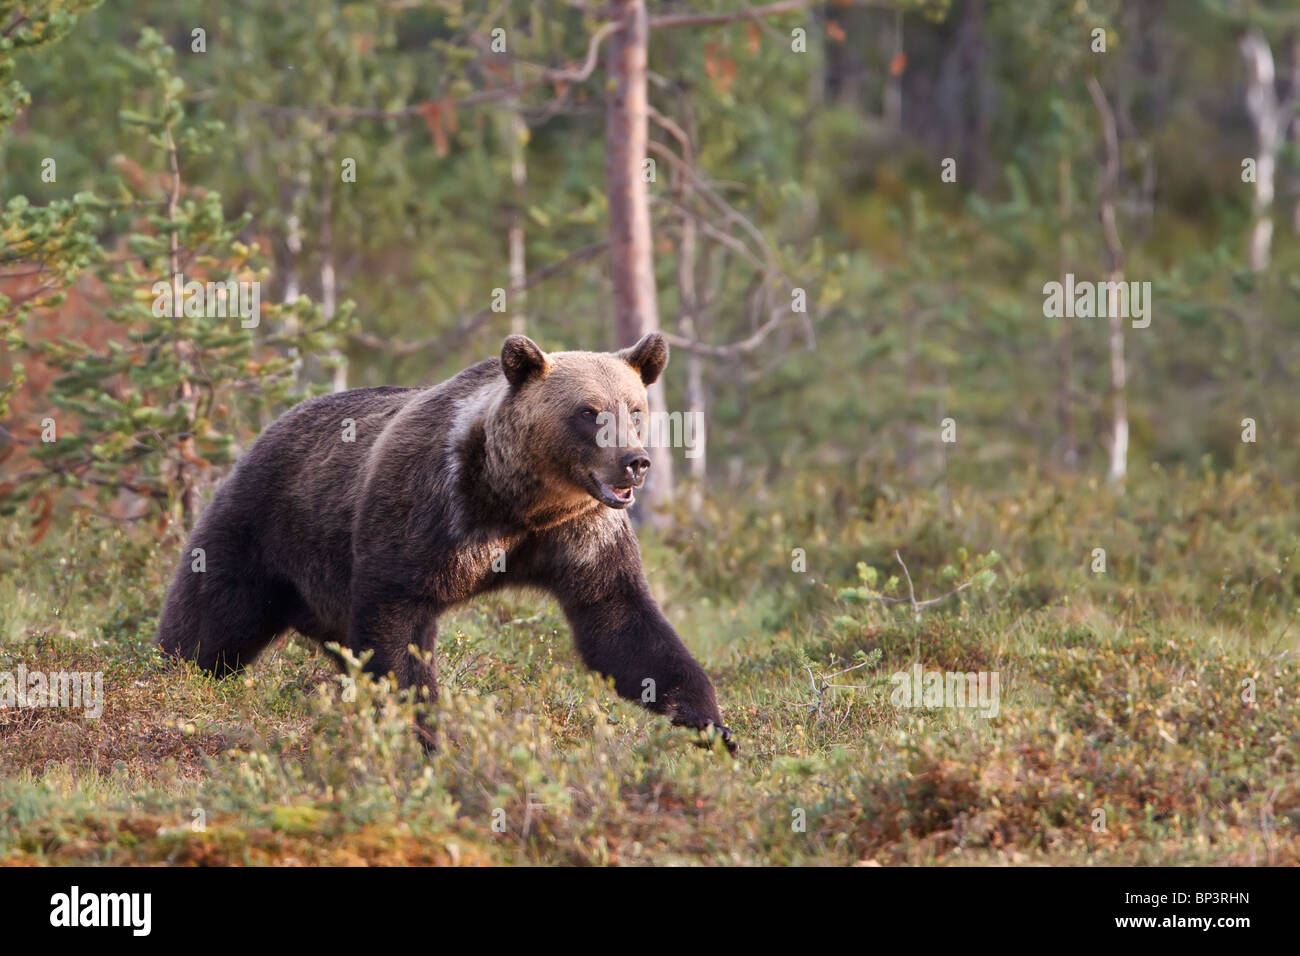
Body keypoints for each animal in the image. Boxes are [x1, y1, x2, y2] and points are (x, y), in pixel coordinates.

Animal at [156, 332, 734, 752]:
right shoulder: (426, 515)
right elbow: (399, 628)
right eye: (589, 412)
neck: (515, 501)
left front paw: (709, 723)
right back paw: (173, 673)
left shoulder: (580, 536)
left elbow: (621, 622)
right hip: (264, 526)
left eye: (634, 409)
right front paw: (423, 734)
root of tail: (271, 425)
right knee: (212, 618)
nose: (634, 463)